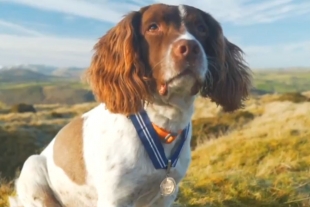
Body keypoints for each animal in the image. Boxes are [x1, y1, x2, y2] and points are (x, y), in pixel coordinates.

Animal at [9, 3, 252, 207]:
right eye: (153, 27)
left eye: (201, 28)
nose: (190, 48)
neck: (163, 124)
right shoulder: (115, 198)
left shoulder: (166, 195)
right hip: (33, 168)